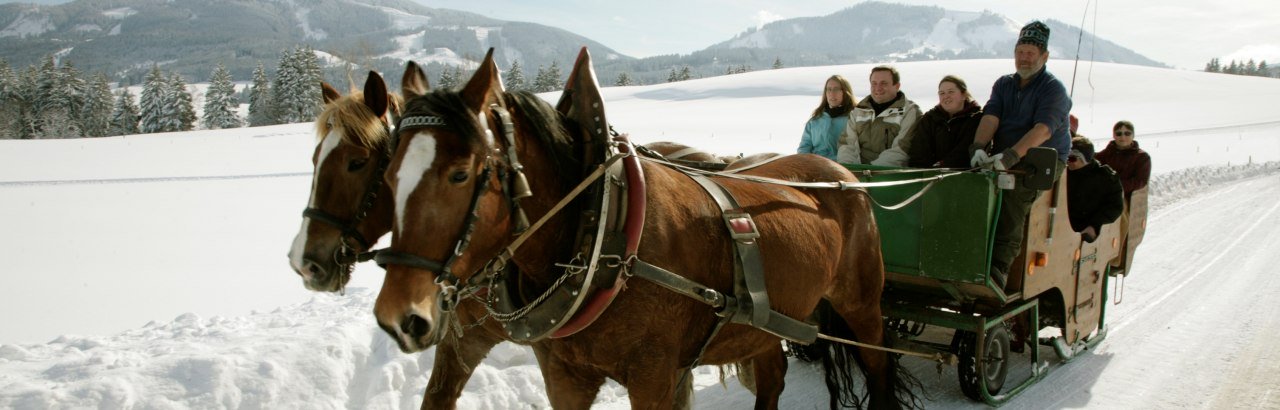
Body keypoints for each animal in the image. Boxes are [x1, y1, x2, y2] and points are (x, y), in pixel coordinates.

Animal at [371, 49, 921, 407]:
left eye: (461, 173)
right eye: (387, 172)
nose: (400, 317)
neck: (602, 233)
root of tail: (843, 175)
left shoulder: (654, 376)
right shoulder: (564, 377)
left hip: (861, 304)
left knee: (878, 365)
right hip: (768, 317)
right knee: (771, 376)